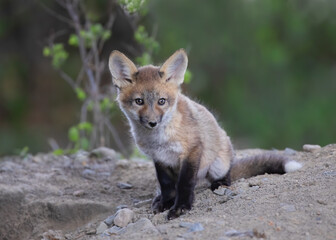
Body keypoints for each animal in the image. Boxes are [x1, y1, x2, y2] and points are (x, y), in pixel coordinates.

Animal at [108, 48, 302, 219]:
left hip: (218, 165)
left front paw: (180, 207)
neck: (159, 141)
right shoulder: (160, 159)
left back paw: (219, 184)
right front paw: (166, 202)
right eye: (139, 101)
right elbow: (167, 185)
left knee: (227, 177)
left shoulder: (192, 150)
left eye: (161, 101)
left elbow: (185, 184)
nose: (152, 123)